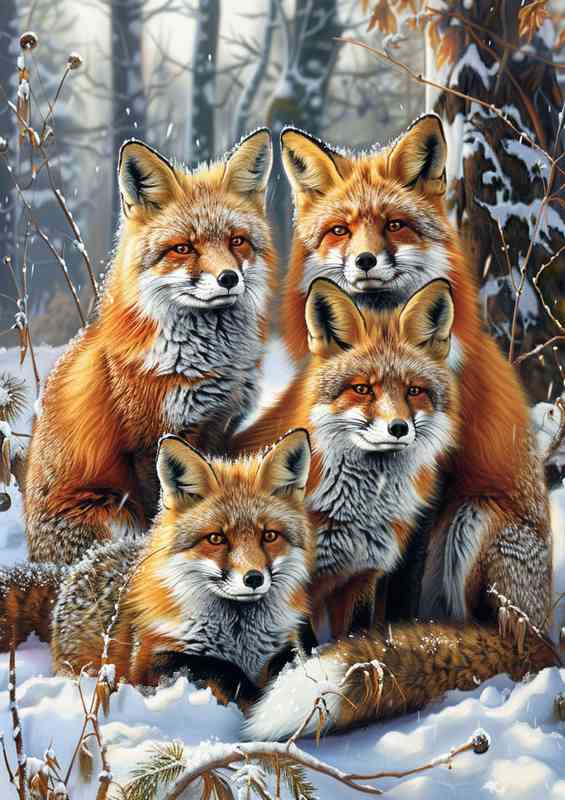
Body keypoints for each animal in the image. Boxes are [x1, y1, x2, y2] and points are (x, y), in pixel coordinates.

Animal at [0, 430, 316, 707]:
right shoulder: (151, 661)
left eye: (269, 536)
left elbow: (291, 662)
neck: (239, 636)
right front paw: (255, 697)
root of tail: (80, 563)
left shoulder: (284, 644)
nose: (253, 578)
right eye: (216, 538)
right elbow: (220, 670)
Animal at [19, 128, 276, 564]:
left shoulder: (220, 428)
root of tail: (35, 556)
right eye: (183, 248)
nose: (229, 278)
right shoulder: (148, 440)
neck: (209, 364)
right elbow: (161, 506)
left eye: (237, 241)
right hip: (107, 512)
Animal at [235, 276, 461, 638]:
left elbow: (352, 636)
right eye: (363, 389)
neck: (357, 516)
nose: (398, 428)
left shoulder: (361, 576)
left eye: (413, 390)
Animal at [277, 115, 552, 631]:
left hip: (472, 517)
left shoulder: (432, 473)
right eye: (340, 230)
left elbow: (396, 578)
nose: (365, 261)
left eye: (395, 225)